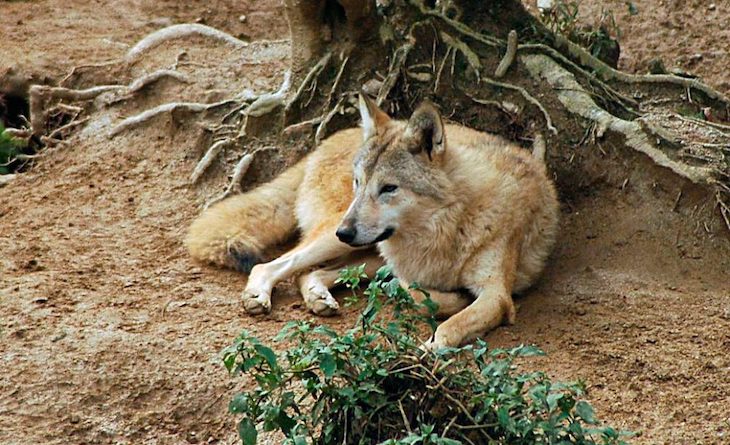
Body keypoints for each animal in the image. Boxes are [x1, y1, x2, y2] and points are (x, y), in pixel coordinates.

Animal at [185, 94, 559, 349]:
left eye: (389, 188)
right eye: (358, 182)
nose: (345, 230)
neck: (451, 223)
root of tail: (328, 140)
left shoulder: (496, 295)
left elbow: (448, 326)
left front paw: (427, 347)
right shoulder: (408, 268)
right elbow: (422, 297)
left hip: (359, 247)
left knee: (310, 273)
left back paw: (319, 298)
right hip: (337, 238)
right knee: (275, 265)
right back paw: (259, 297)